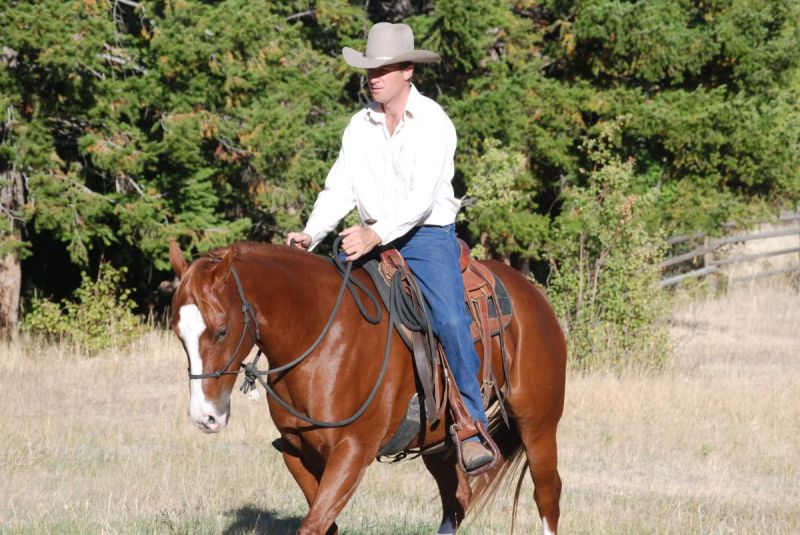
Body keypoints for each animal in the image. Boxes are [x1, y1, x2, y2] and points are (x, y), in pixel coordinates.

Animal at [168, 239, 566, 535]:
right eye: (178, 332)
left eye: (221, 330)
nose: (205, 417)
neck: (319, 334)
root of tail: (533, 297)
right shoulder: (295, 451)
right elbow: (325, 524)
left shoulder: (352, 451)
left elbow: (313, 525)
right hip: (439, 444)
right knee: (457, 499)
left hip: (538, 425)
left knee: (547, 495)